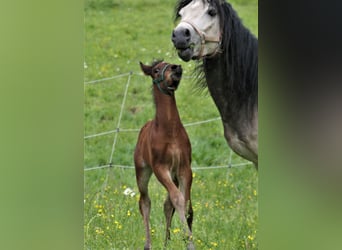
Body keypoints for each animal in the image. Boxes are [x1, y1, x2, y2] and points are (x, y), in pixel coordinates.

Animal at [134, 60, 194, 250]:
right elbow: (178, 198)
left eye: (169, 63)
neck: (170, 131)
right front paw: (189, 241)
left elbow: (185, 204)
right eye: (156, 70)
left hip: (174, 174)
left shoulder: (184, 167)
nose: (176, 68)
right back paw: (148, 244)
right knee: (145, 202)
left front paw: (185, 238)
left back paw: (167, 242)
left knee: (167, 204)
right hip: (142, 171)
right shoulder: (160, 168)